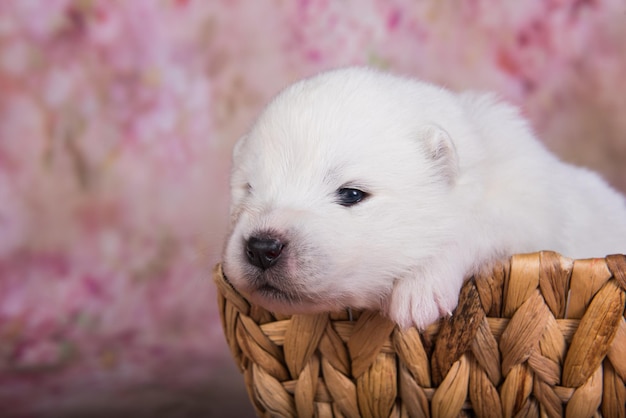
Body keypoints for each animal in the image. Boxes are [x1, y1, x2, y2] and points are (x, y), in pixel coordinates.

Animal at [222, 66, 624, 330]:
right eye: (249, 189)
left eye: (351, 194)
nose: (262, 247)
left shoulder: (526, 213)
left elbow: (470, 230)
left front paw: (419, 289)